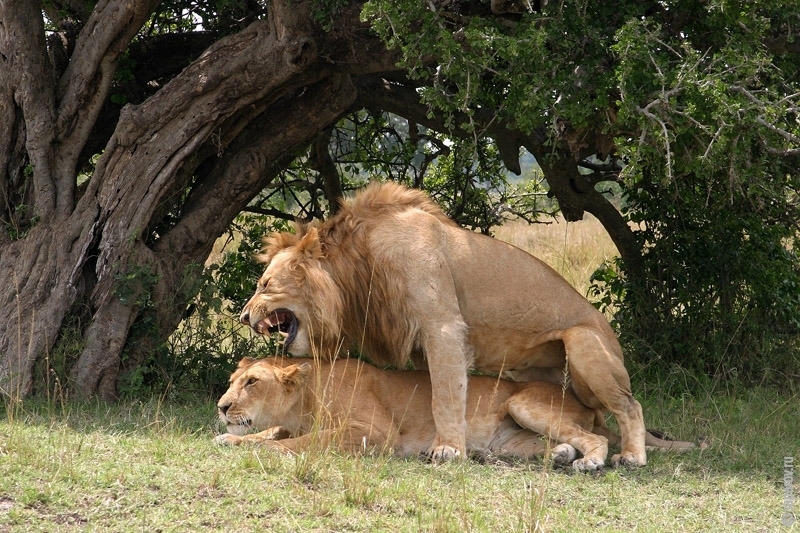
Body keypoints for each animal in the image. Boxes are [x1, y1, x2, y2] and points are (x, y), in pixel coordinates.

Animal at [241, 181, 648, 464]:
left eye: (265, 285)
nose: (244, 316)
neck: (359, 269)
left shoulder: (443, 326)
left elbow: (446, 394)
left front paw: (449, 449)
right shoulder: (421, 342)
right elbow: (435, 392)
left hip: (582, 342)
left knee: (630, 406)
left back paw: (631, 456)